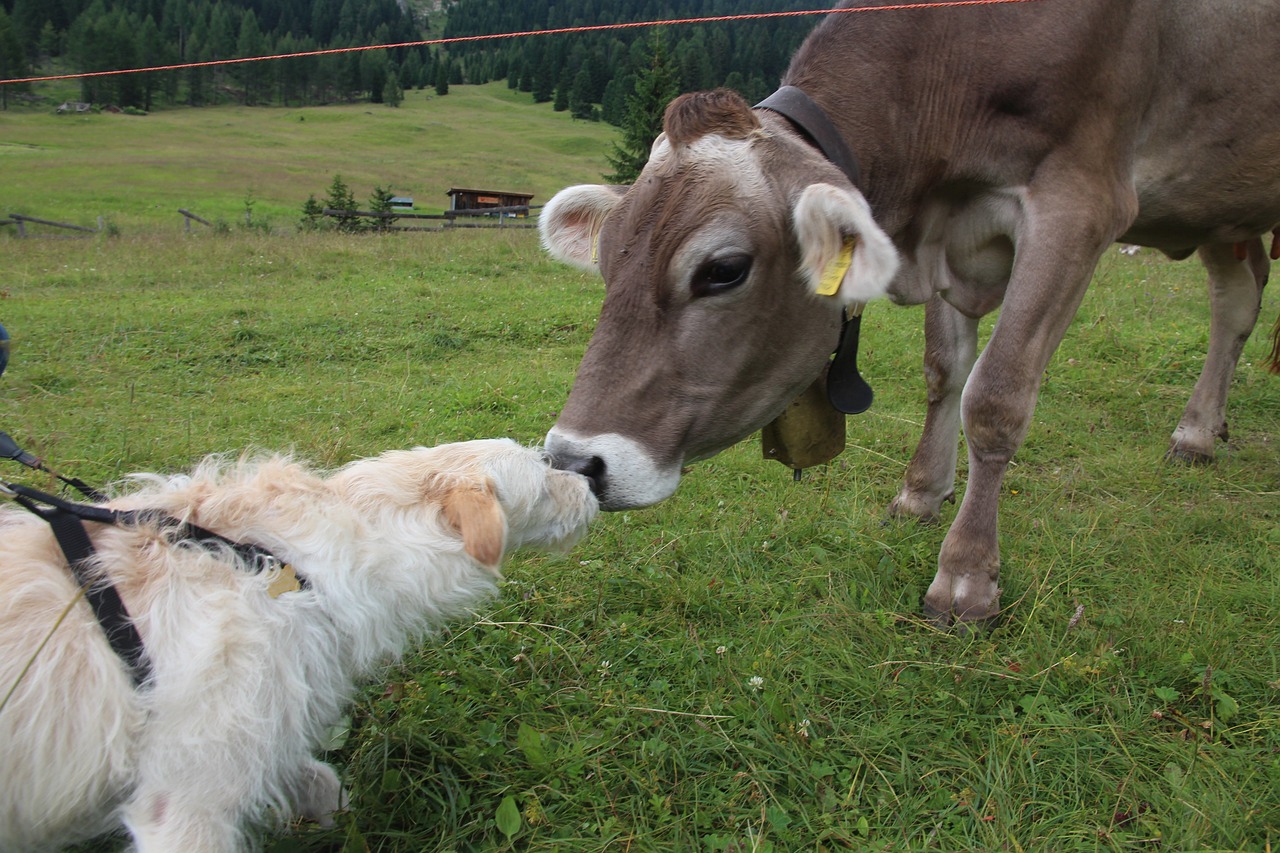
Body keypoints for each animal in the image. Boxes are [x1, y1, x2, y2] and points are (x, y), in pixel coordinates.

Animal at [0, 438, 596, 850]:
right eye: (545, 478)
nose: (593, 486)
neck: (290, 566)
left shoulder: (268, 723)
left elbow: (321, 781)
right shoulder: (185, 799)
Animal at [540, 0, 1280, 625]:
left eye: (723, 269)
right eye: (607, 262)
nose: (576, 462)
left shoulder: (1080, 200)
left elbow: (996, 396)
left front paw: (966, 577)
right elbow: (943, 371)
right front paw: (920, 494)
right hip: (1225, 212)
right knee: (1238, 298)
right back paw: (1200, 430)